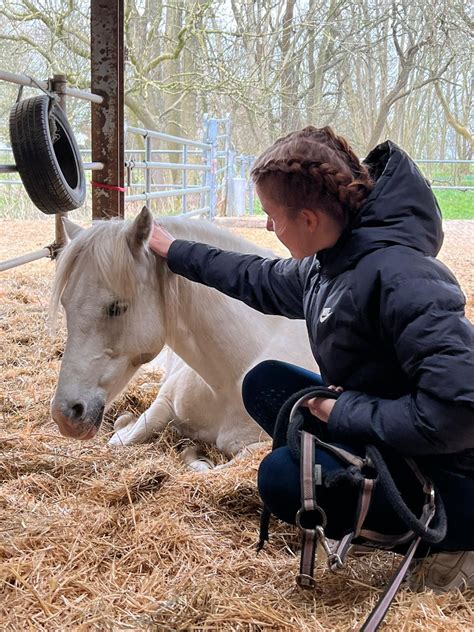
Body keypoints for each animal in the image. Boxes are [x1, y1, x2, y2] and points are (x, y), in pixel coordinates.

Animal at [50, 207, 316, 470]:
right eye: (66, 303)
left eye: (117, 307)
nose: (66, 416)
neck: (228, 382)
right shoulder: (165, 403)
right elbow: (127, 436)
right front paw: (126, 422)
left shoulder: (260, 447)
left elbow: (214, 468)